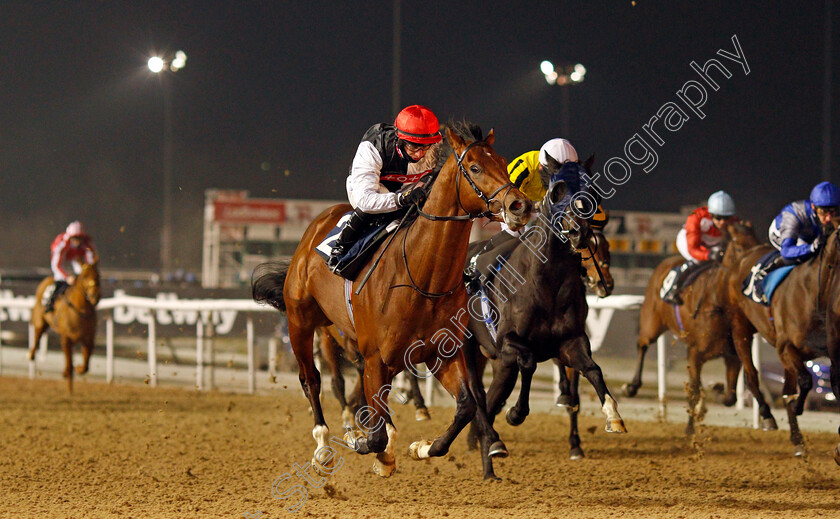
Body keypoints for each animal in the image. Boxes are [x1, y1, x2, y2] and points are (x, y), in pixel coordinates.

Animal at [28, 262, 101, 392]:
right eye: (84, 276)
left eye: (98, 275)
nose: (95, 296)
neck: (81, 311)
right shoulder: (66, 338)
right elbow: (70, 365)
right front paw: (69, 383)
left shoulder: (88, 339)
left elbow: (86, 365)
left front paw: (77, 369)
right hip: (40, 321)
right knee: (37, 336)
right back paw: (31, 354)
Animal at [253, 124, 536, 482]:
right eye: (474, 168)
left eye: (502, 163)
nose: (520, 205)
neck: (422, 278)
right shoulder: (377, 356)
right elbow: (372, 435)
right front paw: (361, 441)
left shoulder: (442, 354)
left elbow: (465, 406)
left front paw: (421, 447)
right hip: (301, 321)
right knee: (312, 379)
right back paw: (323, 447)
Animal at [462, 156, 628, 462]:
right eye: (557, 190)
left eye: (591, 191)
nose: (577, 231)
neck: (546, 283)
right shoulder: (508, 342)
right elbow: (528, 362)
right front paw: (517, 413)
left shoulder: (571, 341)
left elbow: (591, 370)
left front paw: (611, 416)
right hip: (467, 348)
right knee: (477, 391)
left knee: (492, 394)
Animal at [620, 222, 772, 434]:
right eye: (740, 247)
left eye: (757, 242)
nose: (758, 272)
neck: (719, 305)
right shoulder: (695, 354)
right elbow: (693, 390)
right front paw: (690, 427)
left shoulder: (731, 356)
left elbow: (729, 396)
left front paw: (715, 390)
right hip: (651, 322)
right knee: (642, 344)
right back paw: (631, 387)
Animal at [728, 223, 840, 460]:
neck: (815, 294)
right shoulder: (786, 346)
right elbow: (805, 381)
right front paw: (797, 407)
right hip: (740, 327)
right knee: (752, 375)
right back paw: (768, 417)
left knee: (786, 388)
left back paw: (797, 440)